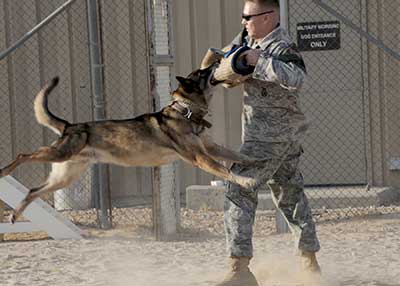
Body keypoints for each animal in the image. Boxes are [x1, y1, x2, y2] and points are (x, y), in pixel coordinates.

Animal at [0, 65, 260, 223]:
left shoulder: (211, 148)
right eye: (202, 73)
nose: (216, 61)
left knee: (33, 190)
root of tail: (69, 126)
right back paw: (4, 171)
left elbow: (238, 156)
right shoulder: (200, 157)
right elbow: (225, 170)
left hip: (64, 176)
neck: (185, 112)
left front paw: (259, 160)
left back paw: (15, 215)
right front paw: (246, 181)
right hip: (59, 154)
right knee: (23, 155)